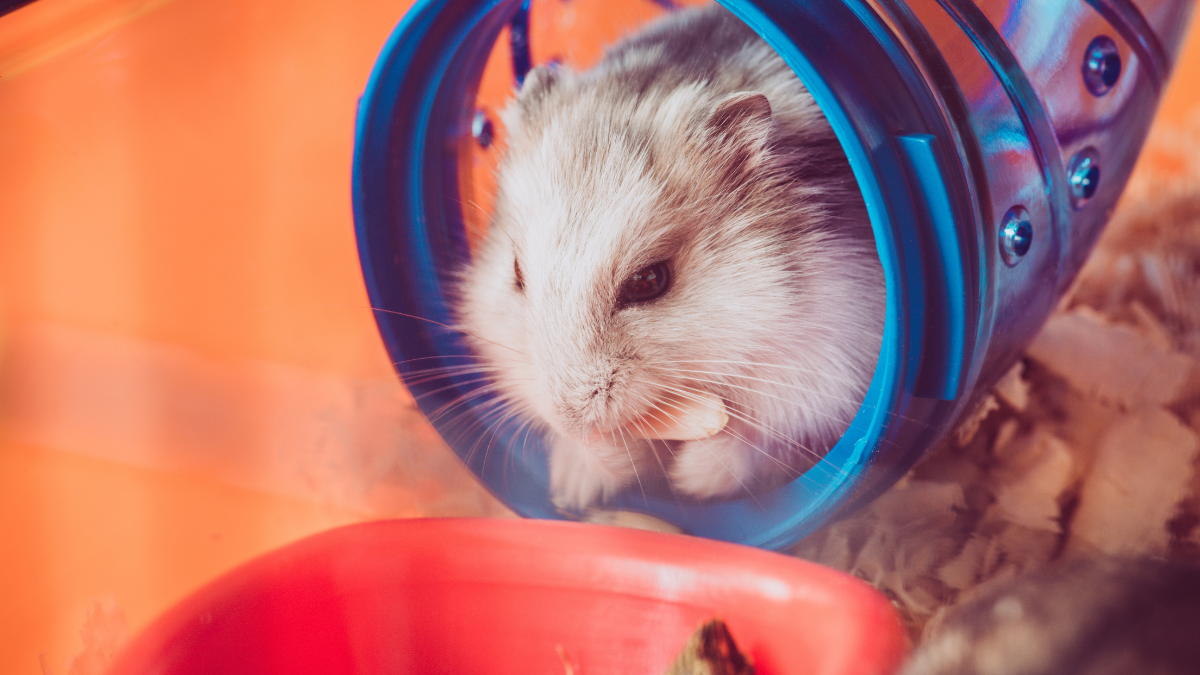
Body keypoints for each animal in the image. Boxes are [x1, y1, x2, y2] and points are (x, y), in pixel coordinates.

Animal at [456, 5, 885, 510]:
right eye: (517, 274)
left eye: (649, 281)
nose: (572, 417)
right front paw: (577, 485)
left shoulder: (829, 363)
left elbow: (756, 434)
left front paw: (689, 479)